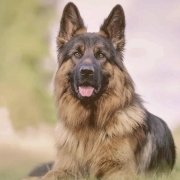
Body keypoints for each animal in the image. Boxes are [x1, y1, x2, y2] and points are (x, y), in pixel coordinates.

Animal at [39, 1, 176, 180]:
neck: (90, 125)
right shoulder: (64, 168)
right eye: (77, 53)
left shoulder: (120, 170)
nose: (86, 72)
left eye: (100, 55)